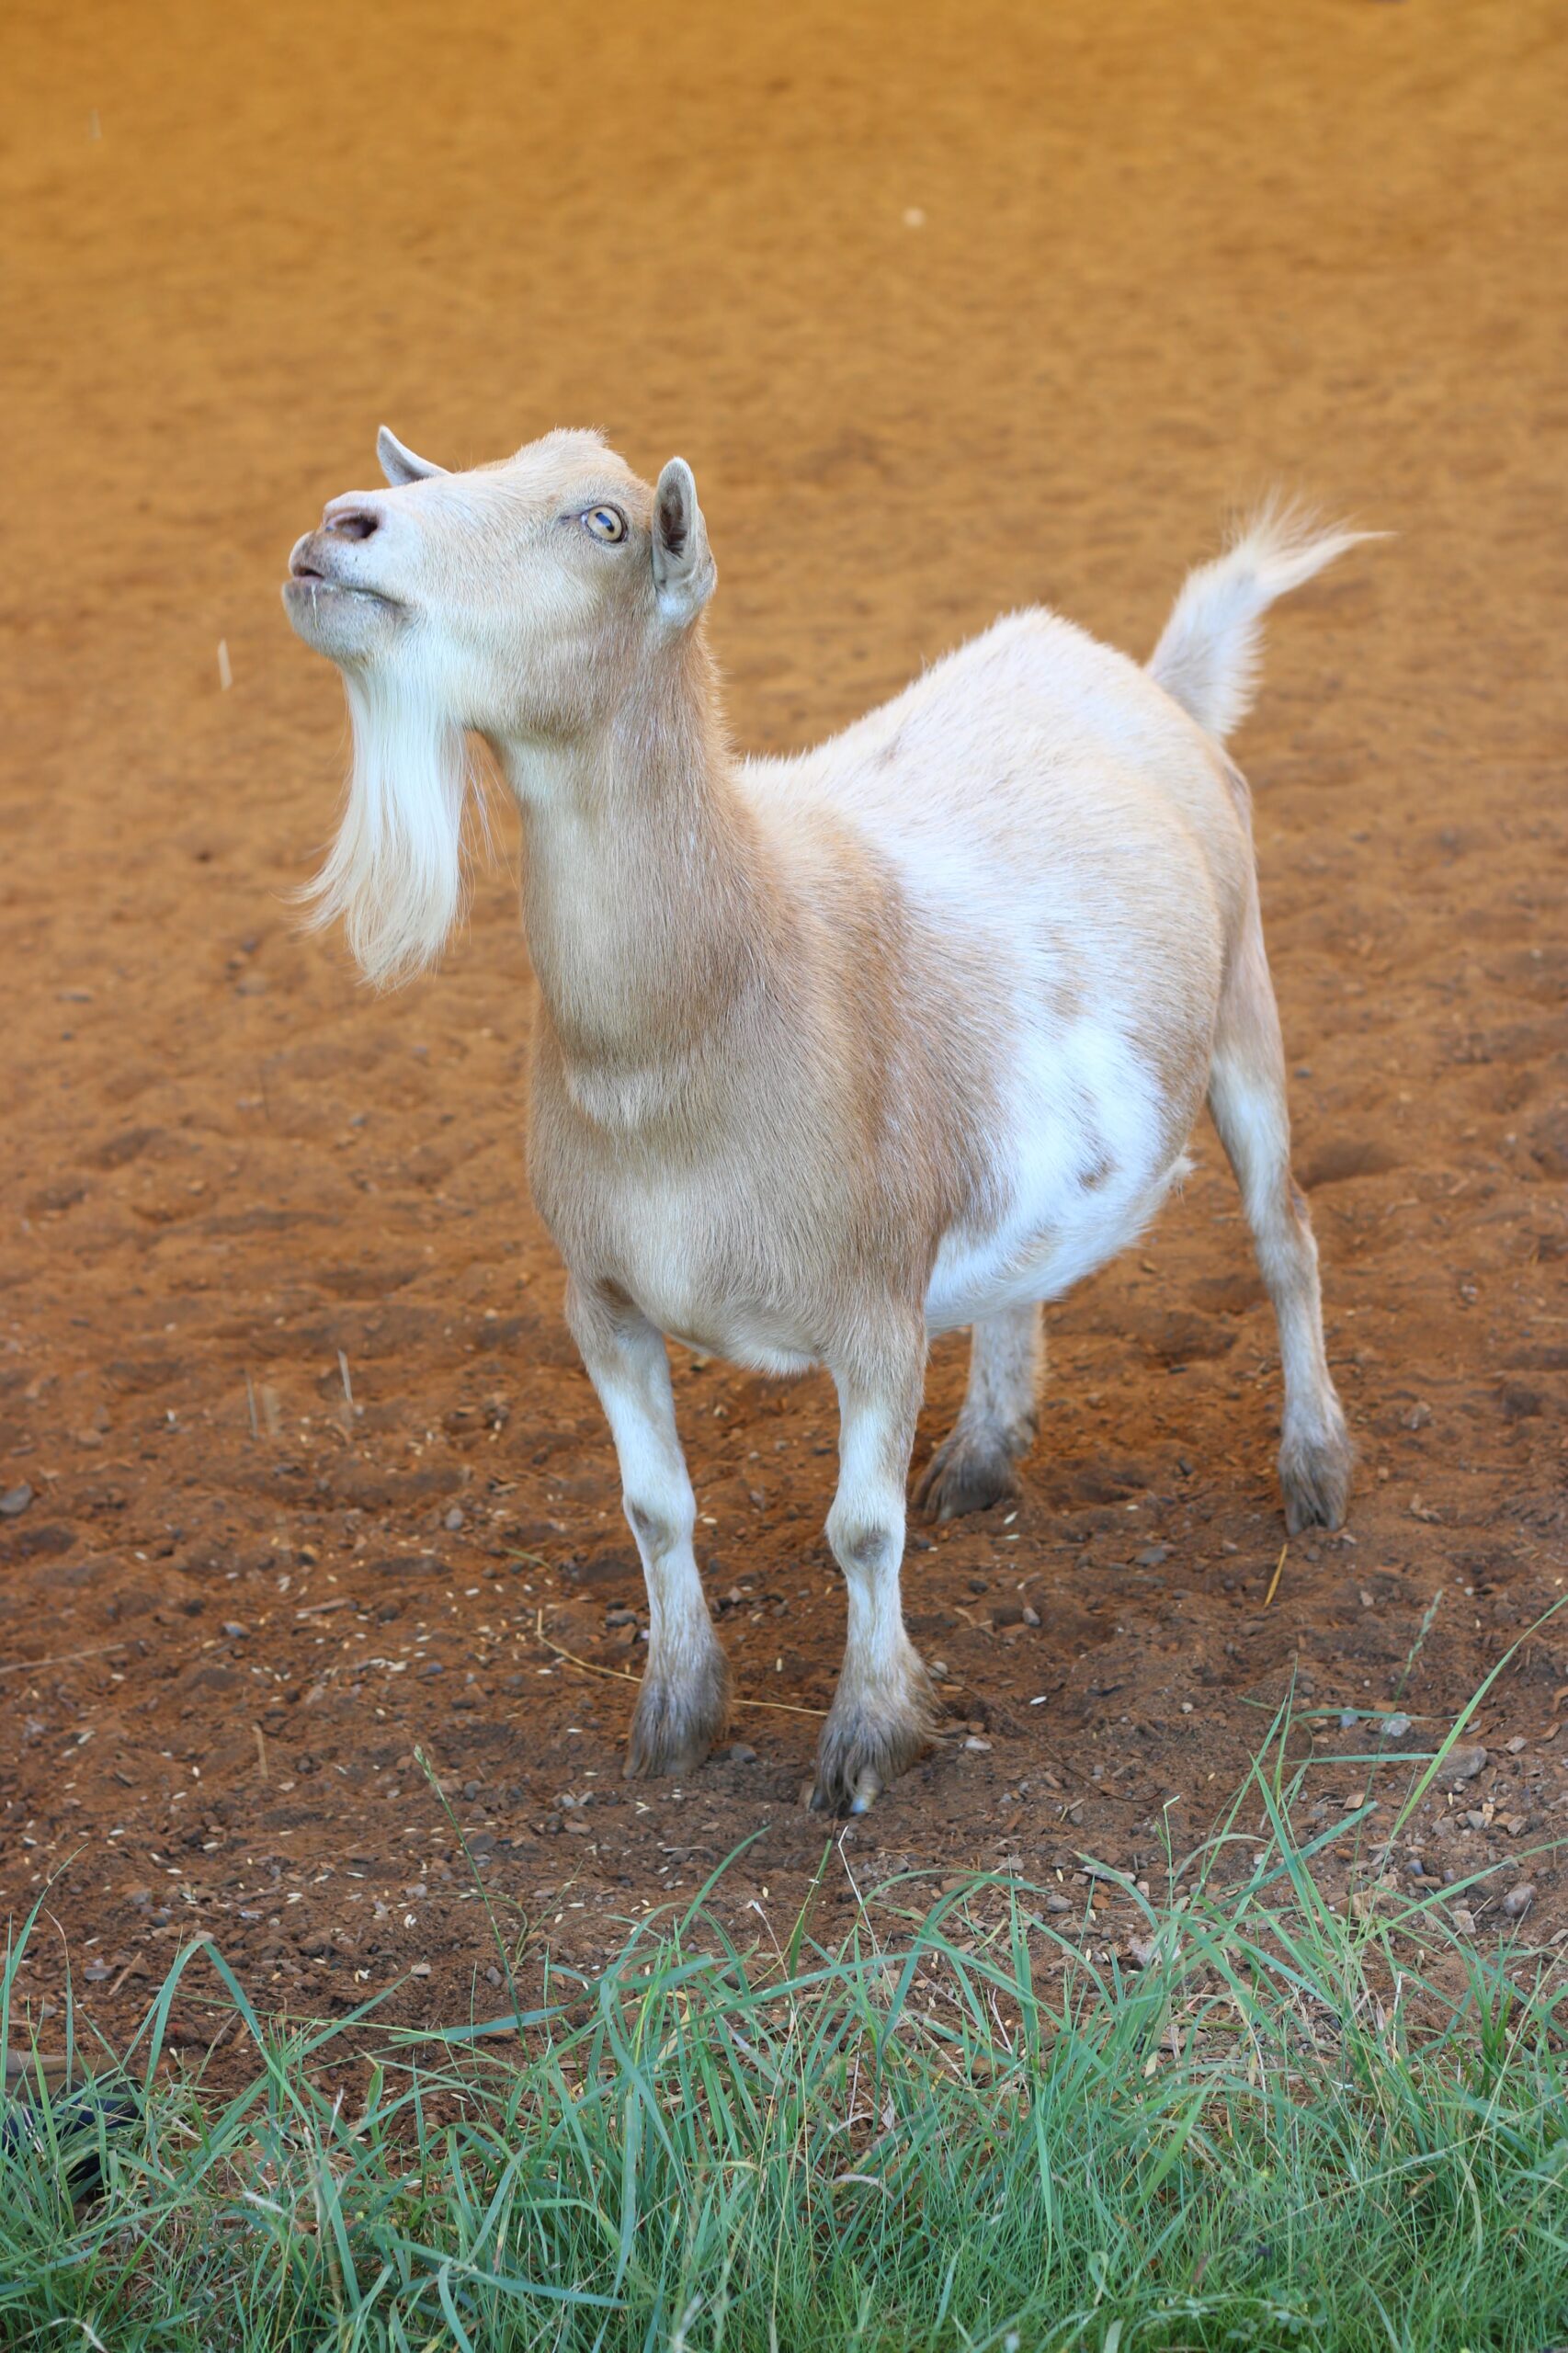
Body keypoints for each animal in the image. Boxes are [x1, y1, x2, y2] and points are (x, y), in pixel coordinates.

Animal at [283, 426, 1364, 1812]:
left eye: (601, 523)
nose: (341, 525)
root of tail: (1137, 673)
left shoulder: (872, 1307)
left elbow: (859, 1529)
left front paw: (867, 1736)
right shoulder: (599, 1297)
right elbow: (653, 1511)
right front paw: (675, 1715)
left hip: (1243, 1009)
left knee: (1284, 1236)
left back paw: (1311, 1469)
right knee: (1027, 1265)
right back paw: (985, 1451)